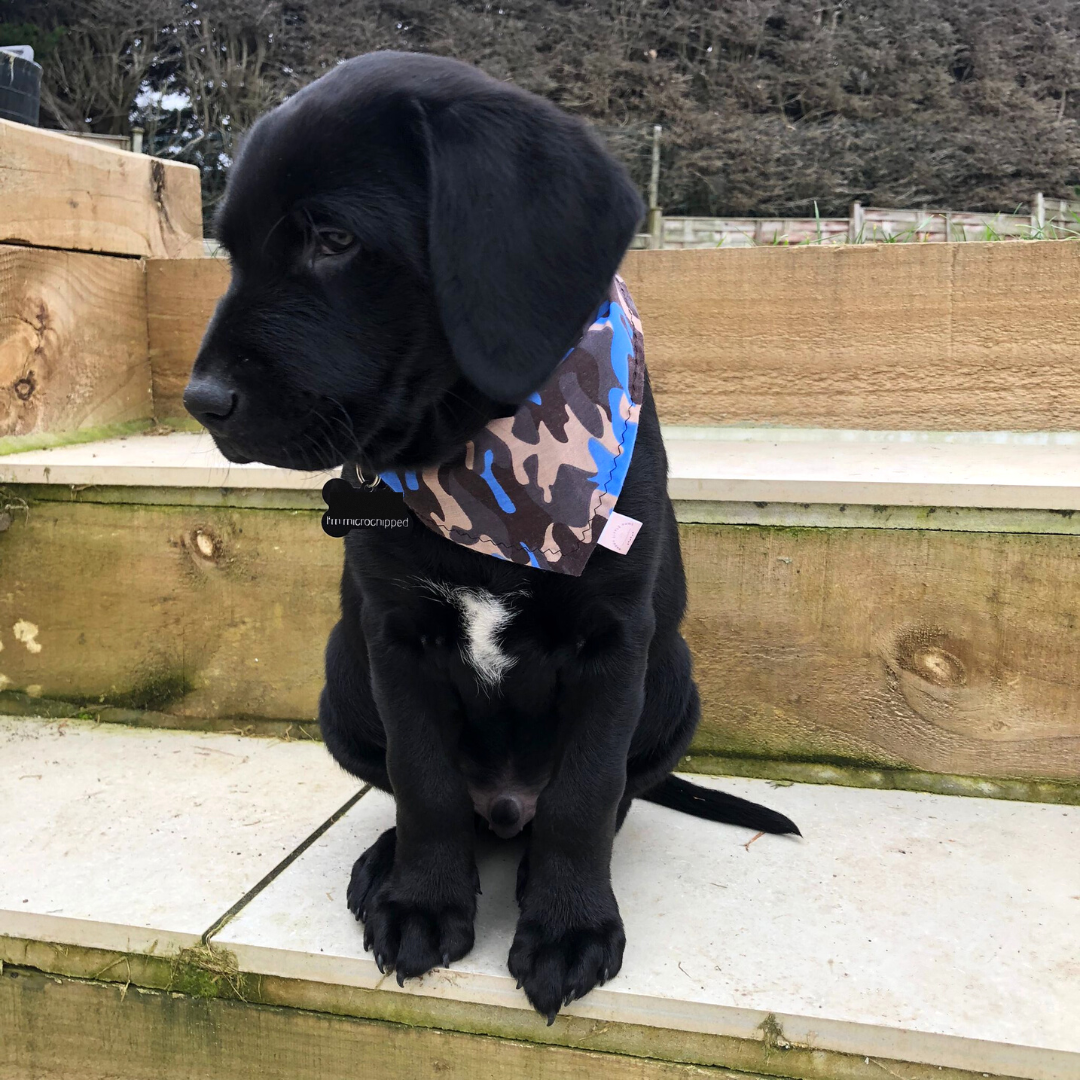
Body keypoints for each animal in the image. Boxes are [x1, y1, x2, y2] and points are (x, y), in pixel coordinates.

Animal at [185, 50, 799, 1023]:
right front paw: (423, 903)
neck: (478, 459)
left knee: (598, 804)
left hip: (675, 681)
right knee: (432, 798)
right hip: (339, 679)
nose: (200, 401)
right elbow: (425, 782)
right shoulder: (393, 635)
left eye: (333, 240)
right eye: (230, 251)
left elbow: (584, 797)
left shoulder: (616, 643)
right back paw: (387, 864)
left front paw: (568, 928)